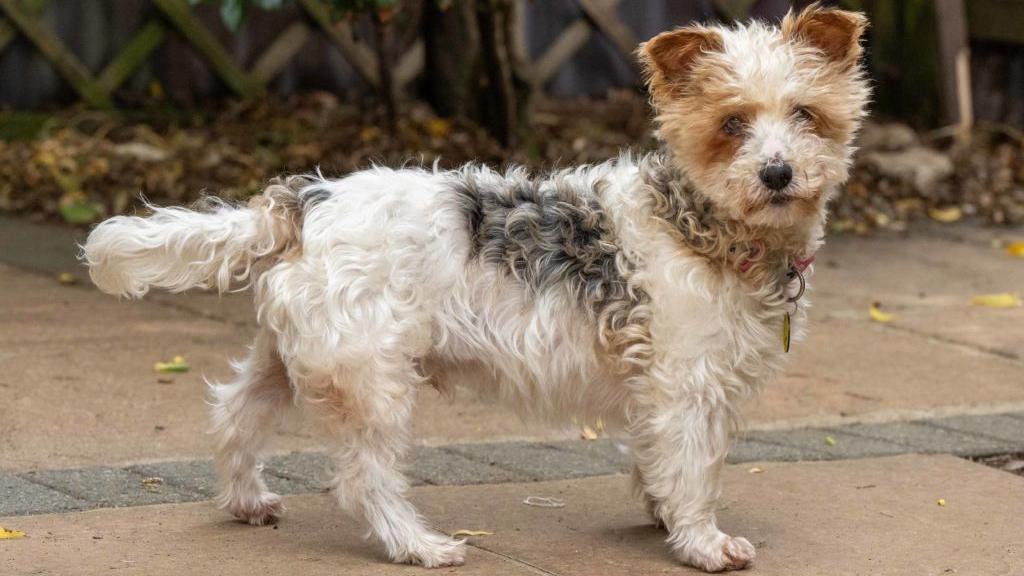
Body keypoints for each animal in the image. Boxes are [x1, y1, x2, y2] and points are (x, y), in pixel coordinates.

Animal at [81, 4, 864, 569]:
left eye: (805, 114)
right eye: (731, 123)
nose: (777, 174)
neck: (701, 224)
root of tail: (303, 200)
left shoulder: (669, 389)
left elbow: (660, 462)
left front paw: (661, 513)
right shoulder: (686, 385)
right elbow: (696, 468)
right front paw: (702, 542)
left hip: (294, 357)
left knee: (235, 417)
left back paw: (248, 501)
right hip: (374, 382)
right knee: (364, 479)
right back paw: (420, 546)